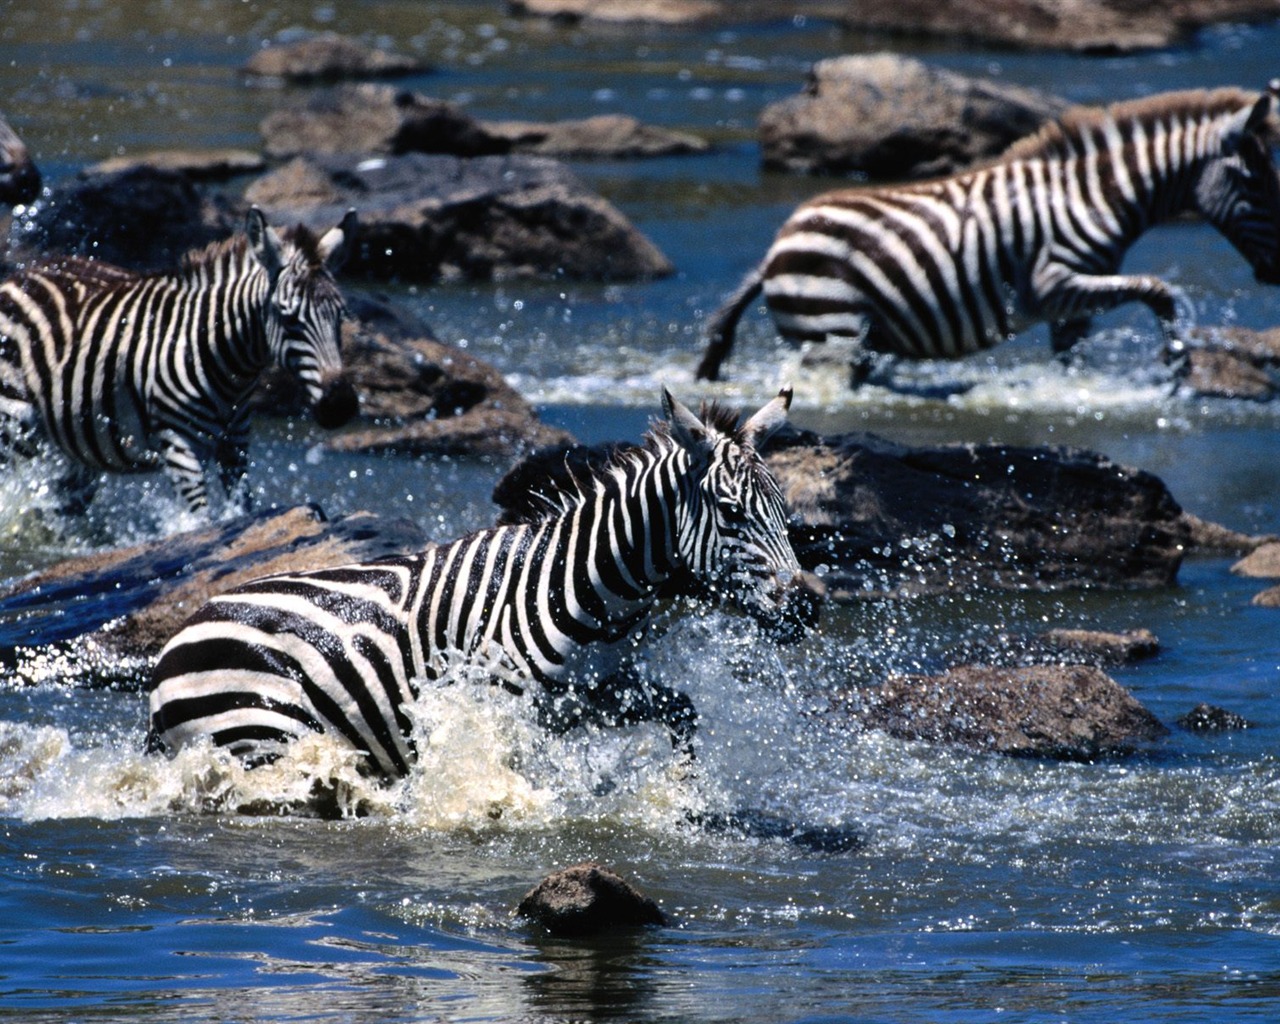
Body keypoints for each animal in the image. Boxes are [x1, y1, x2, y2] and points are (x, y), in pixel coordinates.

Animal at [1, 206, 360, 519]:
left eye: (341, 316)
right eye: (288, 319)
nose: (340, 406)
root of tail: (19, 276)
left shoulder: (236, 443)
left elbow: (242, 508)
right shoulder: (179, 445)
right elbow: (200, 521)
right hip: (15, 425)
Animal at [145, 389, 824, 778]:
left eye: (784, 510)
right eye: (731, 512)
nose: (806, 609)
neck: (585, 586)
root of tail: (184, 629)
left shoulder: (595, 693)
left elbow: (682, 713)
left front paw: (681, 794)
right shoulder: (497, 703)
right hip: (258, 737)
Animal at [701, 83, 1280, 386]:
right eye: (1258, 183)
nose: (1277, 273)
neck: (1097, 197)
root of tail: (775, 247)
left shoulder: (1075, 302)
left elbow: (1072, 357)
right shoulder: (1053, 284)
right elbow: (1159, 291)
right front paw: (1176, 361)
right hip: (829, 330)